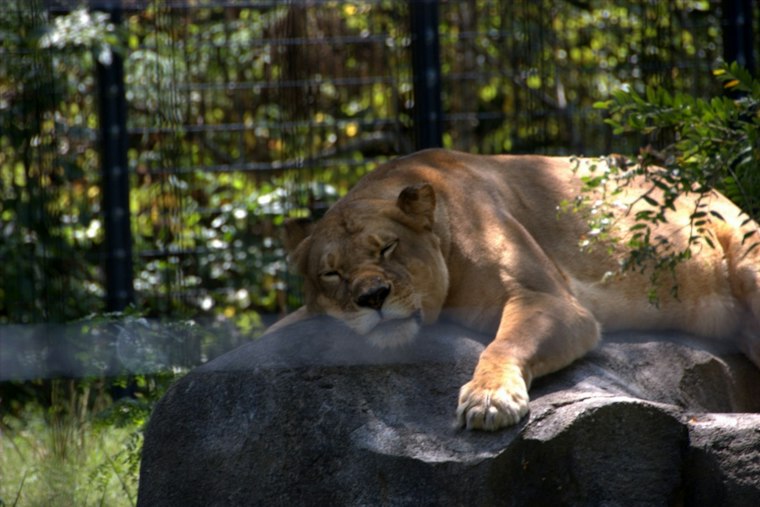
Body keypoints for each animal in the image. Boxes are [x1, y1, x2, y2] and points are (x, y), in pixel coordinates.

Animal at [267, 149, 760, 431]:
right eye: (332, 274)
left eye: (388, 247)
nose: (372, 297)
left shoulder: (546, 297)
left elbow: (503, 344)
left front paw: (490, 398)